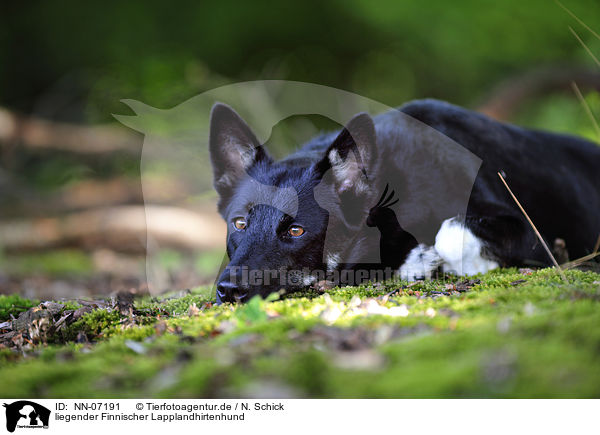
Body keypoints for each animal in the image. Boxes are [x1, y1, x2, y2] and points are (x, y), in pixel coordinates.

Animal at [210, 99, 600, 304]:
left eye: (295, 230)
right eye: (240, 224)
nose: (228, 291)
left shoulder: (533, 236)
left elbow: (450, 232)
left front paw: (427, 261)